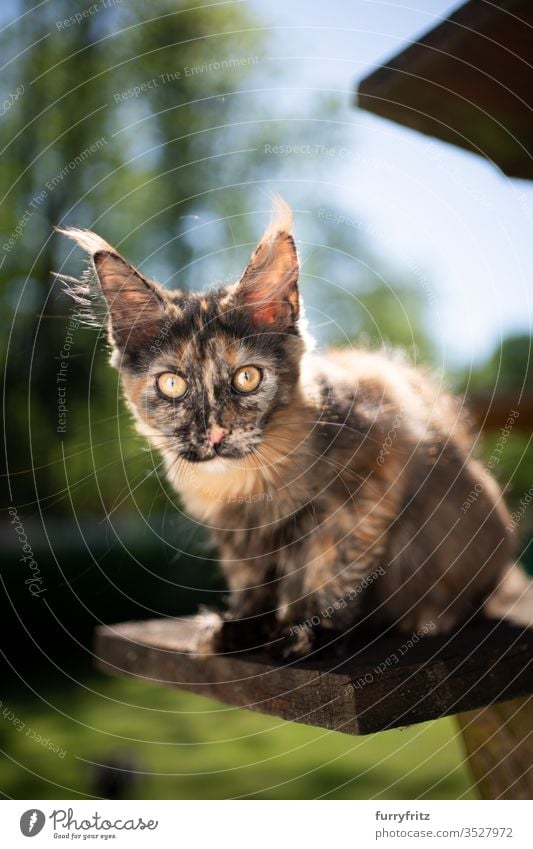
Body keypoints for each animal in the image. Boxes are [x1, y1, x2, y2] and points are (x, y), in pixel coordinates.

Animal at [58, 199, 528, 656]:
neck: (248, 480)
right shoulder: (238, 534)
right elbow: (250, 579)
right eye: (172, 384)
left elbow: (335, 566)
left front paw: (311, 632)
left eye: (247, 377)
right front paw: (242, 627)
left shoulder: (369, 481)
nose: (214, 434)